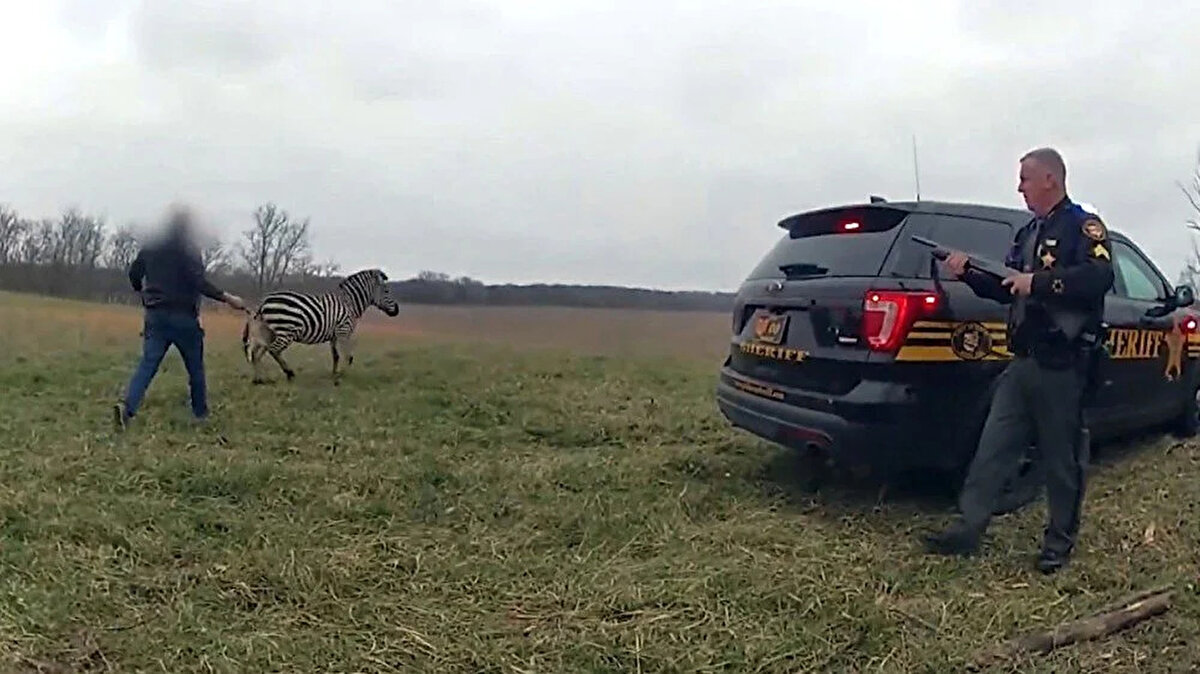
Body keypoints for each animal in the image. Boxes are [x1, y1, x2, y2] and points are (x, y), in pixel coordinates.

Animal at [241, 268, 400, 385]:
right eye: (386, 291)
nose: (397, 310)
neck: (349, 303)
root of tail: (264, 301)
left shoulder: (334, 335)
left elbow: (336, 356)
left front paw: (335, 375)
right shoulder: (344, 331)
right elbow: (348, 356)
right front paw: (342, 376)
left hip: (268, 332)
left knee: (257, 354)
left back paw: (259, 379)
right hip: (286, 331)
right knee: (273, 350)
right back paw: (288, 373)